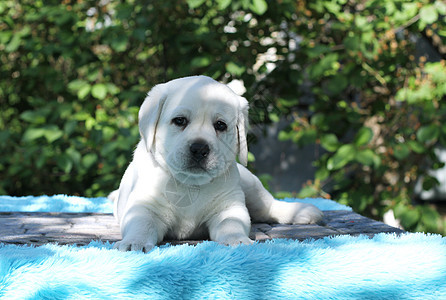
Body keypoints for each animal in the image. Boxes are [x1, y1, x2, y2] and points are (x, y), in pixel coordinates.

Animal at [113, 76, 322, 252]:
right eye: (179, 121)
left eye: (220, 125)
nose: (199, 148)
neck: (191, 184)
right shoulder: (144, 206)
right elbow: (141, 224)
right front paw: (135, 243)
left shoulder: (228, 207)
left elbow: (231, 223)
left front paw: (237, 240)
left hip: (250, 185)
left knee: (268, 207)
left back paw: (303, 212)